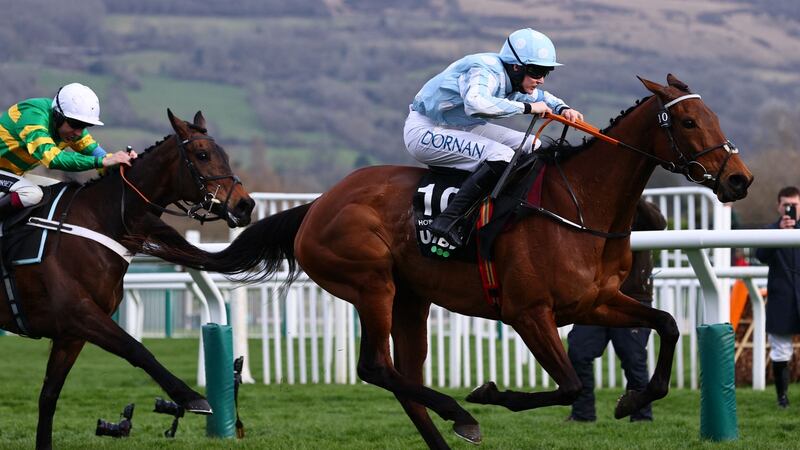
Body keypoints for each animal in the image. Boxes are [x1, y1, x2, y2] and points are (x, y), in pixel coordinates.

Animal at [0, 110, 255, 450]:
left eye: (225, 155)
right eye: (202, 155)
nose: (245, 204)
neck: (99, 220)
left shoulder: (70, 334)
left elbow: (49, 397)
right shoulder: (79, 312)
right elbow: (137, 349)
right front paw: (191, 397)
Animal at [136, 75, 752, 448]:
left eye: (716, 115)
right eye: (689, 122)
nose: (739, 180)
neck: (579, 204)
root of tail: (318, 205)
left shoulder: (597, 300)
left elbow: (666, 325)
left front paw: (635, 398)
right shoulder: (529, 313)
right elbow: (572, 385)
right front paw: (490, 394)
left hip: (413, 299)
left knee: (405, 379)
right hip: (372, 285)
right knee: (376, 368)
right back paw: (463, 413)